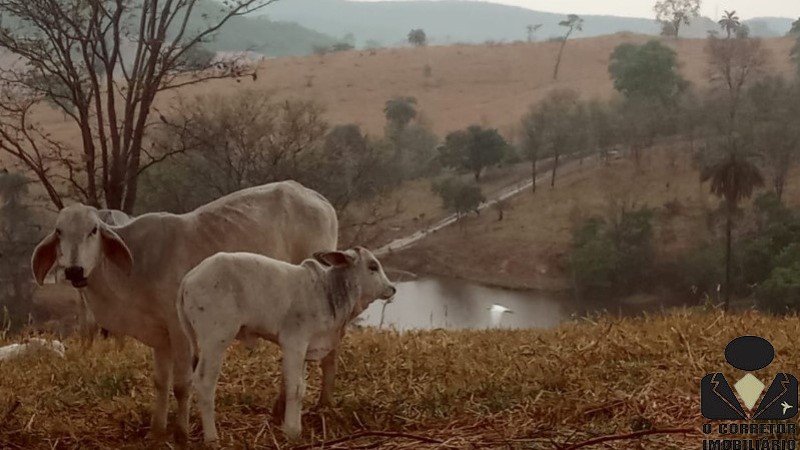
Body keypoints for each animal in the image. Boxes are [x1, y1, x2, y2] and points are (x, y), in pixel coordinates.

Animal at [28, 180, 338, 442]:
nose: (74, 270)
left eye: (93, 230)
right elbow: (160, 382)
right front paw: (156, 430)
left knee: (327, 355)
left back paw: (323, 404)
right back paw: (282, 408)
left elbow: (182, 384)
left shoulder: (179, 331)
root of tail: (318, 198)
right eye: (59, 232)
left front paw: (182, 432)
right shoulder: (159, 336)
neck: (135, 266)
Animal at [178, 246, 396, 442]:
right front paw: (292, 431)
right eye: (372, 266)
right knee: (204, 382)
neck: (327, 292)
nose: (392, 288)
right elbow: (295, 387)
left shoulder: (306, 349)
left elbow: (302, 386)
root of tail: (188, 278)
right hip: (215, 340)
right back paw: (212, 438)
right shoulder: (294, 342)